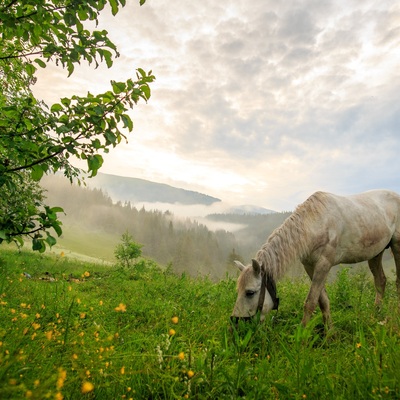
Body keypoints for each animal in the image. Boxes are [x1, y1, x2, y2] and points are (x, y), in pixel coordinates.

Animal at [230, 189, 400, 326]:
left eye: (250, 292)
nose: (236, 321)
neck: (315, 223)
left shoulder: (324, 265)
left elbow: (310, 302)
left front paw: (303, 336)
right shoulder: (310, 266)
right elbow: (322, 301)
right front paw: (329, 333)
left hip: (397, 246)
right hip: (376, 253)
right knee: (380, 281)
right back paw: (376, 313)